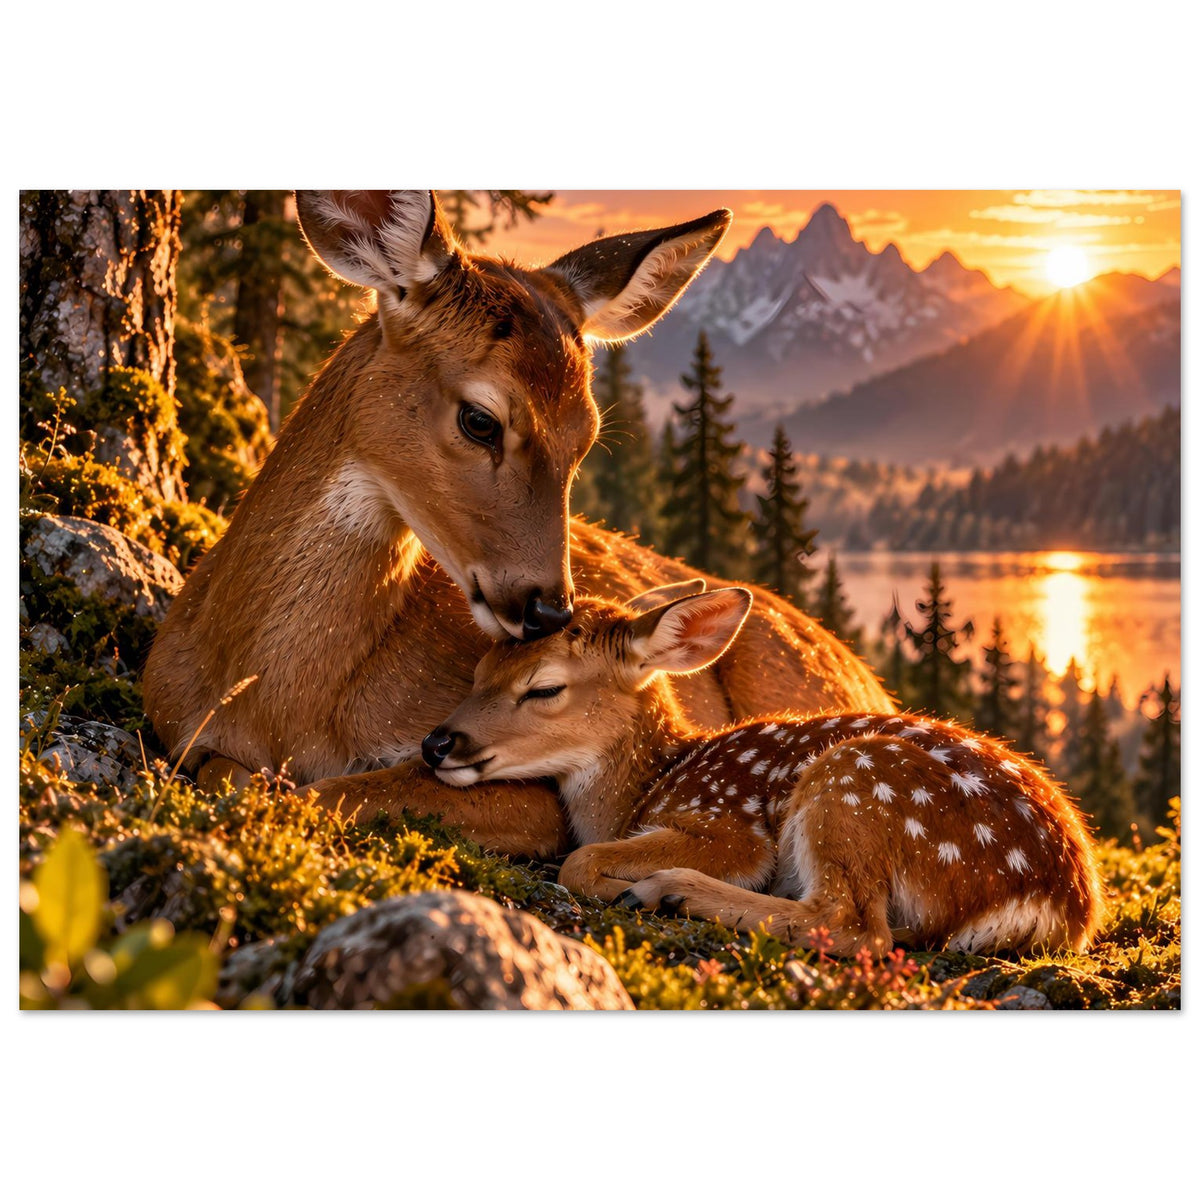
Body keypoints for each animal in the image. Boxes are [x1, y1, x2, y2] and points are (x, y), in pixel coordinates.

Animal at [143, 190, 893, 861]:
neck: (276, 703)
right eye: (480, 419)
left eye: (586, 437)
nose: (548, 608)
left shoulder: (530, 790)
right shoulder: (172, 720)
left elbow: (338, 790)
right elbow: (231, 774)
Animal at [423, 583, 1105, 956]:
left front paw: (627, 882)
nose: (436, 743)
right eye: (480, 669)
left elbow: (580, 859)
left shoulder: (729, 825)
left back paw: (670, 891)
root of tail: (1061, 904)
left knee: (853, 925)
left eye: (544, 688)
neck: (646, 786)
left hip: (855, 783)